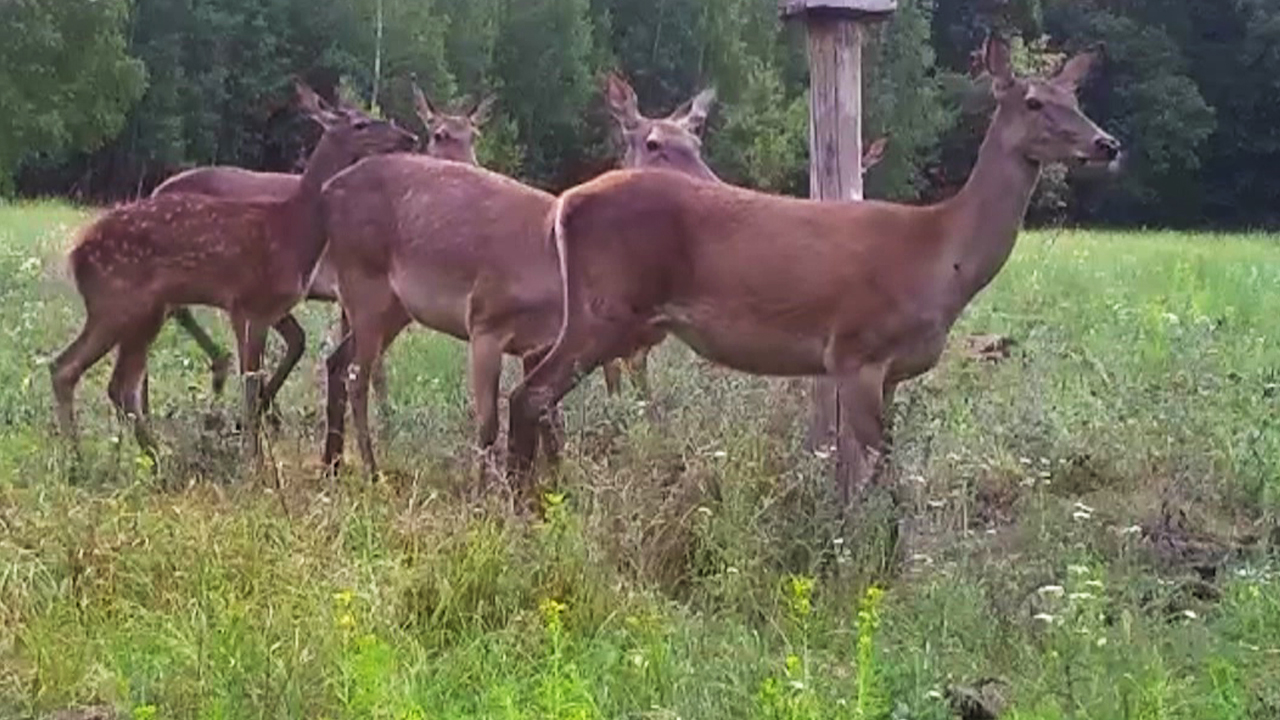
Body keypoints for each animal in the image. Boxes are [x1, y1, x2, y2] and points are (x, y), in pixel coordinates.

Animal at [51, 82, 414, 466]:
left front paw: (253, 451)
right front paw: (253, 460)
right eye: (361, 124)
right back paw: (87, 460)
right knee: (72, 369)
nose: (408, 137)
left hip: (141, 314)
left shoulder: (265, 310)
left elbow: (257, 379)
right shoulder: (247, 303)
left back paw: (136, 457)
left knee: (107, 380)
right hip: (119, 304)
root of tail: (75, 255)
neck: (293, 230)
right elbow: (250, 383)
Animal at [147, 87, 491, 417]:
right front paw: (385, 421)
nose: (473, 169)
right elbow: (371, 364)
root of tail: (155, 190)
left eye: (474, 134)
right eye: (440, 134)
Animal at [320, 73, 721, 476]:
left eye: (697, 140)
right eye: (654, 143)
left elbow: (550, 424)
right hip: (363, 281)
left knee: (337, 361)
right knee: (357, 374)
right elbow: (488, 426)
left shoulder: (539, 343)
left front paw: (556, 482)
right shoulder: (485, 321)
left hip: (393, 306)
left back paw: (332, 464)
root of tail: (329, 188)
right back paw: (371, 471)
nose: (714, 186)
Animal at [506, 35, 1121, 504]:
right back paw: (522, 504)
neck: (941, 258)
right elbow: (876, 477)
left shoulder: (889, 371)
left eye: (1075, 95)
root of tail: (564, 204)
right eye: (1034, 101)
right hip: (604, 309)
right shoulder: (857, 350)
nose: (1107, 143)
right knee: (530, 395)